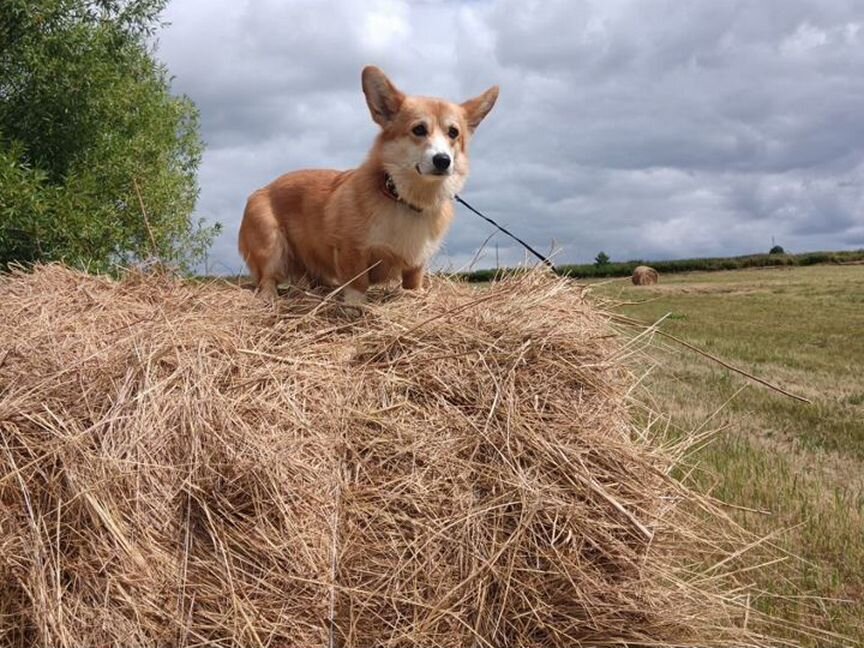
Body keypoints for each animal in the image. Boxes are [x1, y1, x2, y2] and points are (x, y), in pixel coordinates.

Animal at [238, 64, 500, 302]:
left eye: (453, 133)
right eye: (419, 129)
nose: (443, 160)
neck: (405, 199)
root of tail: (264, 188)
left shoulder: (416, 264)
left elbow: (413, 284)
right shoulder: (351, 252)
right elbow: (358, 285)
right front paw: (356, 306)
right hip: (271, 245)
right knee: (267, 278)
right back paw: (270, 297)